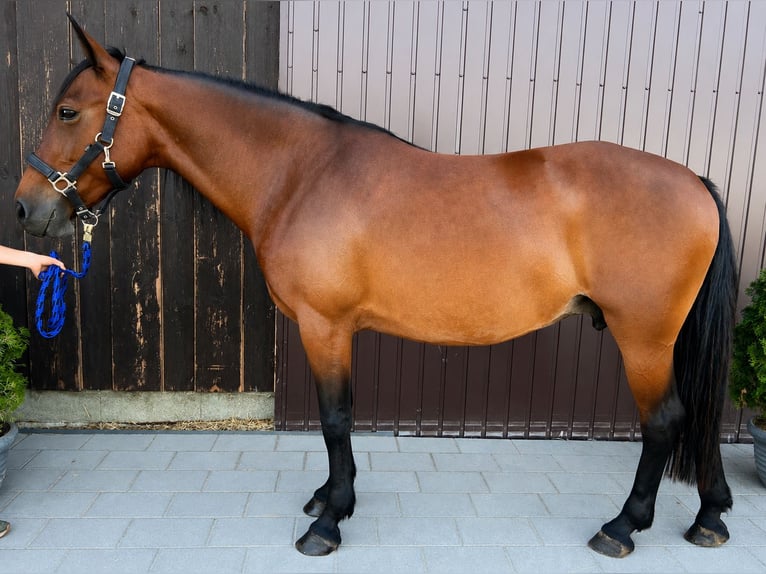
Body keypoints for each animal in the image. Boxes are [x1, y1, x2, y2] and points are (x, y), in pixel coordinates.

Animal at [15, 17, 736, 559]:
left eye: (67, 111)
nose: (26, 209)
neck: (300, 174)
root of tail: (694, 181)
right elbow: (338, 423)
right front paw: (330, 498)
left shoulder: (324, 325)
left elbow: (336, 419)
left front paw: (328, 521)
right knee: (700, 414)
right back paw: (710, 516)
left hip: (643, 338)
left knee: (665, 421)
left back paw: (623, 527)